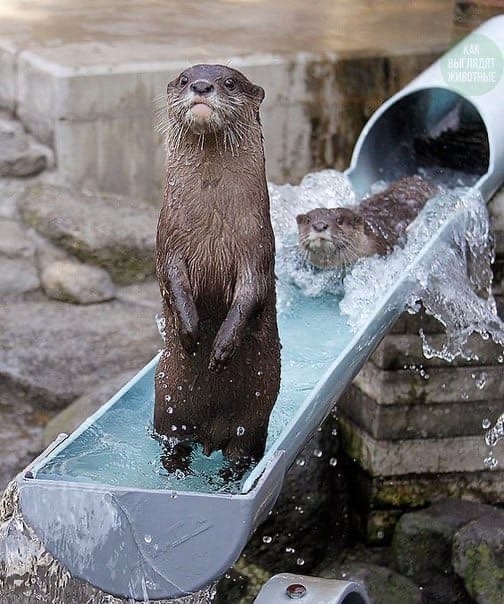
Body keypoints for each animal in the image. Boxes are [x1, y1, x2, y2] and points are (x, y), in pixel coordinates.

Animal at [155, 63, 280, 462]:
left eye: (229, 82)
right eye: (183, 79)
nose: (200, 86)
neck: (211, 226)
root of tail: (211, 435)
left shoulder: (257, 247)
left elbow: (251, 293)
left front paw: (222, 347)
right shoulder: (168, 241)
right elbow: (173, 281)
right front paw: (191, 332)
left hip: (253, 421)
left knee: (241, 452)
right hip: (168, 408)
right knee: (173, 444)